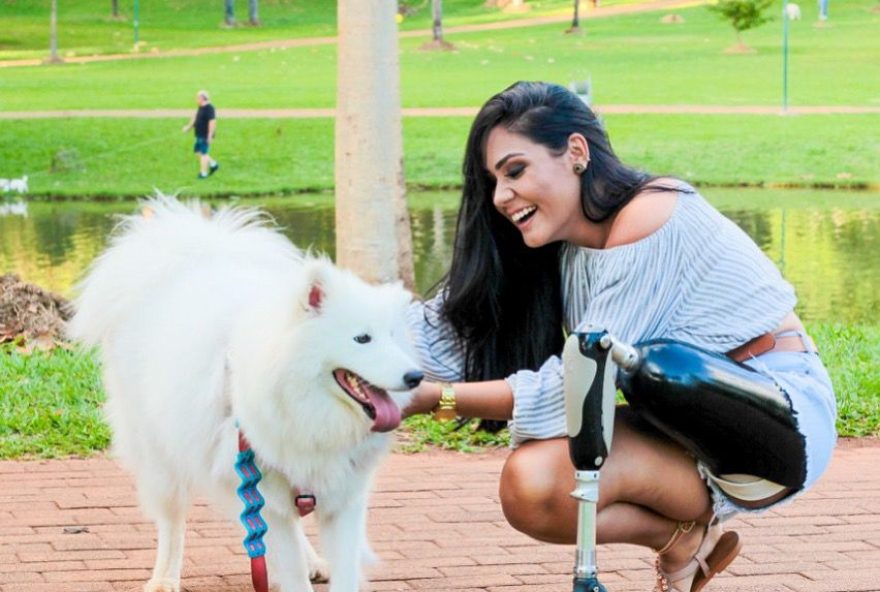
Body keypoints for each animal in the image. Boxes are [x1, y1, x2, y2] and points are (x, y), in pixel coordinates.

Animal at [69, 199, 422, 592]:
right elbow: (290, 568)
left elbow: (341, 571)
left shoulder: (342, 497)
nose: (415, 377)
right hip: (161, 457)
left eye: (394, 337)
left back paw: (314, 561)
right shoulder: (263, 487)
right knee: (172, 521)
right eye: (362, 338)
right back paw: (164, 578)